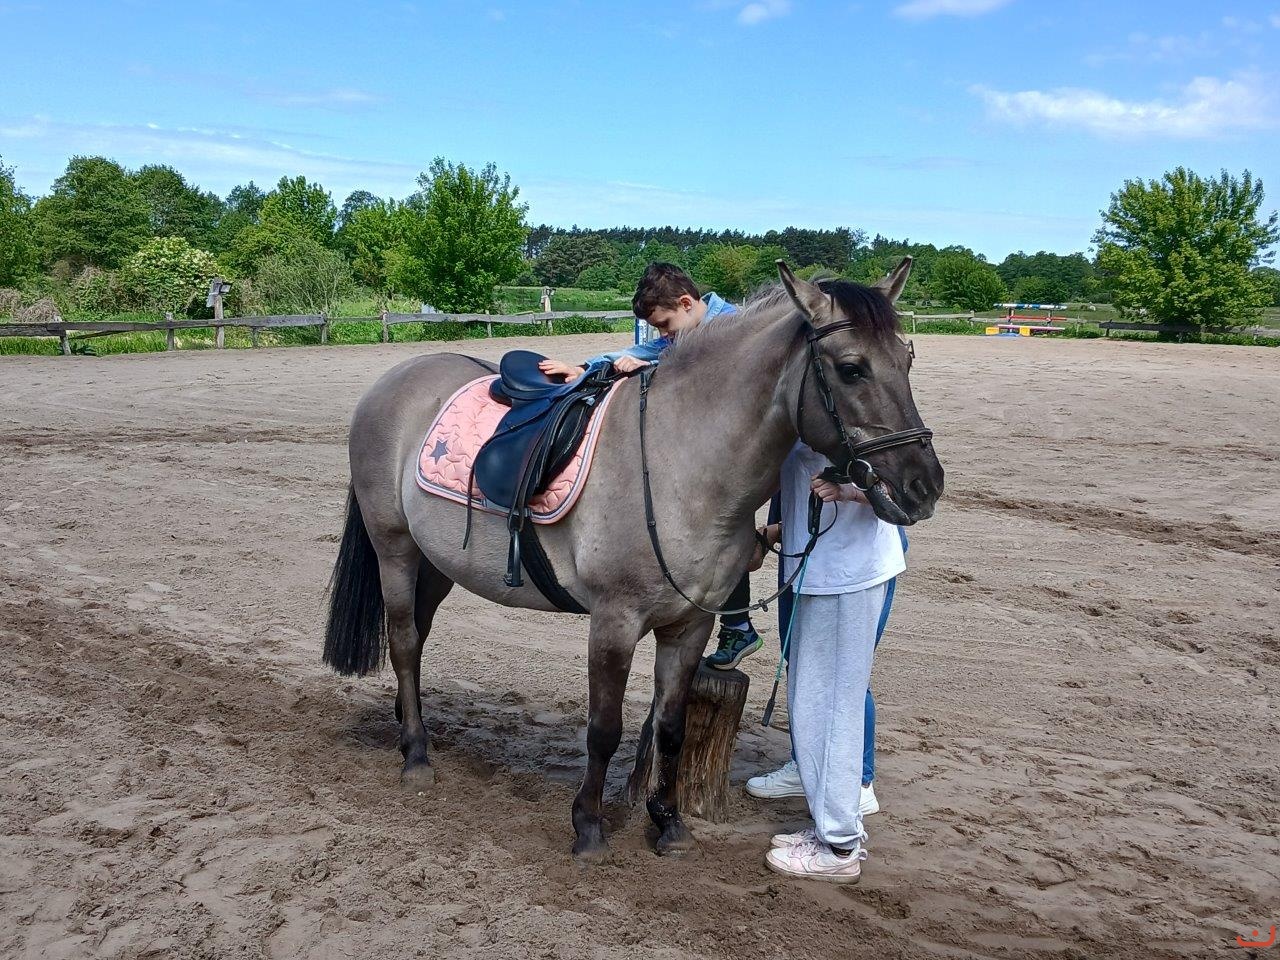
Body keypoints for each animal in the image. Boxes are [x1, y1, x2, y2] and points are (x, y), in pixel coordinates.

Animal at [323, 260, 944, 859]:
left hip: (436, 563)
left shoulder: (688, 627)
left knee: (418, 636)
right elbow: (604, 728)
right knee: (404, 640)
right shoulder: (614, 622)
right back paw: (416, 757)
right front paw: (589, 828)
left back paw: (408, 724)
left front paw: (668, 823)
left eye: (907, 359)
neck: (680, 460)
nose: (925, 484)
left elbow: (670, 728)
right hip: (395, 548)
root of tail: (393, 380)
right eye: (851, 368)